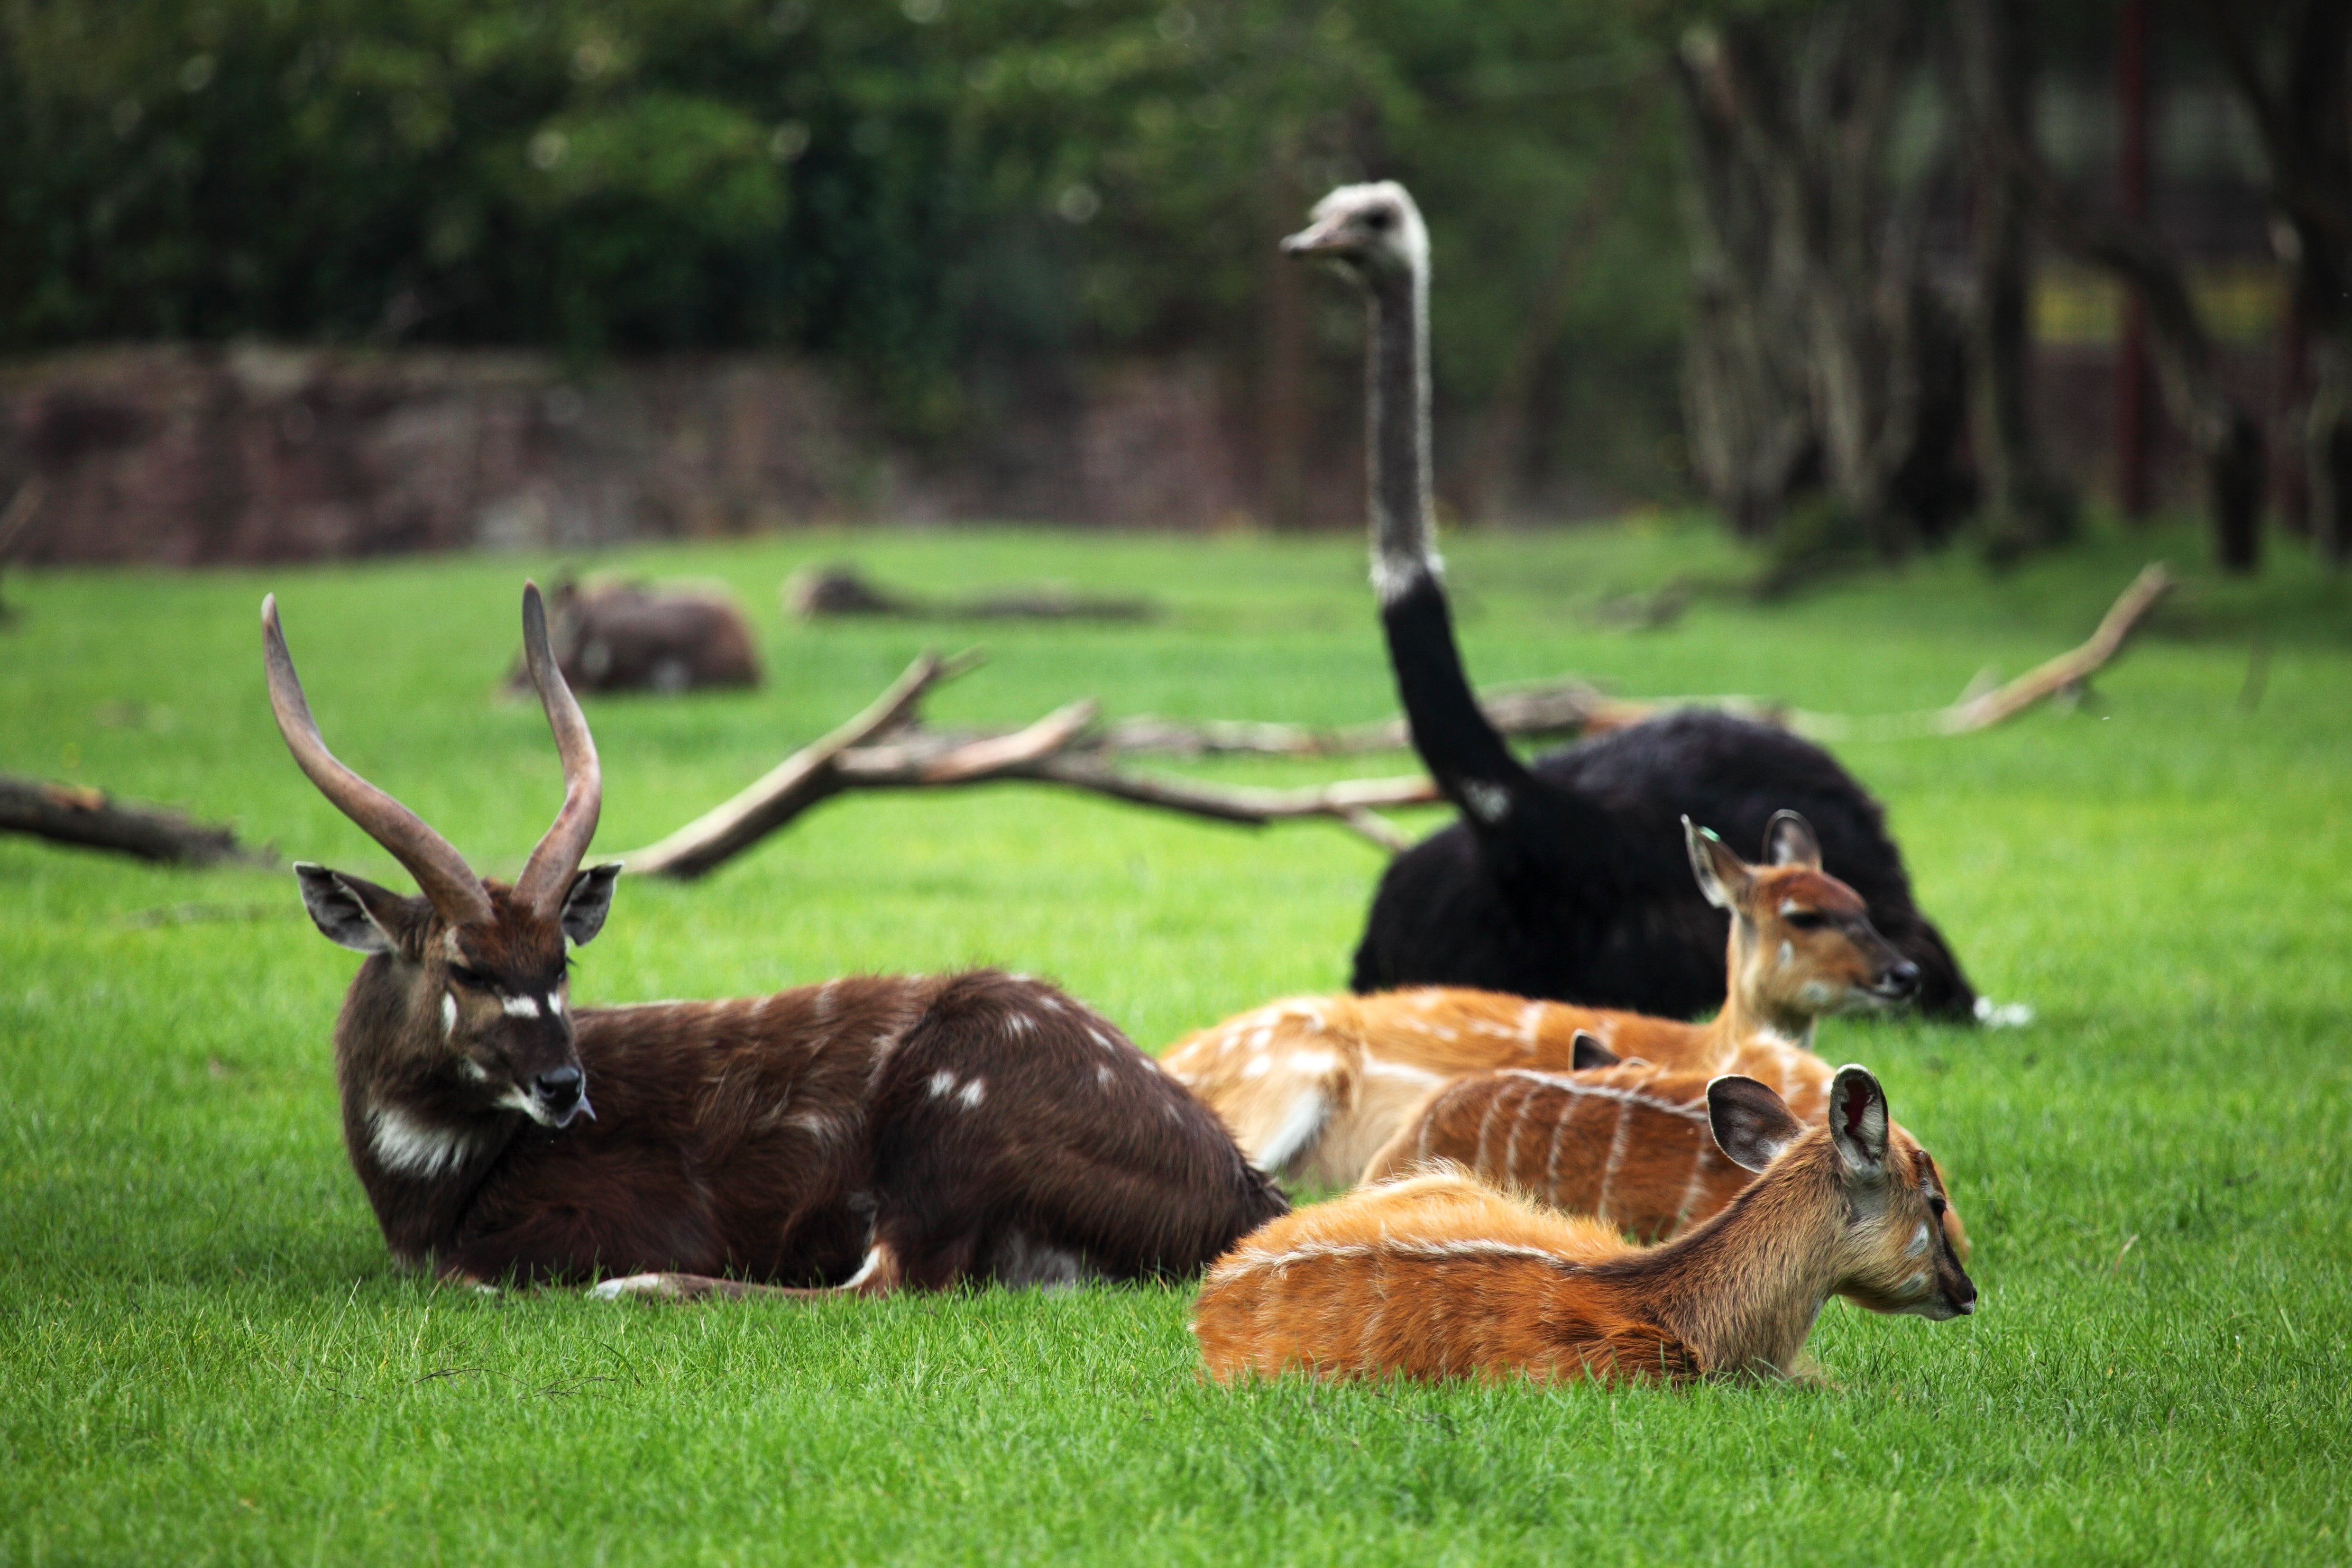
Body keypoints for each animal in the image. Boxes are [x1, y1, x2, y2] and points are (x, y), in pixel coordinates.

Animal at [265, 581, 1284, 1299]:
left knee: (884, 1286)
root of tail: (1242, 1194)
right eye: (466, 964)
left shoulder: (639, 1212)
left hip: (947, 1127)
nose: (564, 1086)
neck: (432, 1190)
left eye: (560, 959)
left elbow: (473, 1271)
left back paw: (637, 1287)